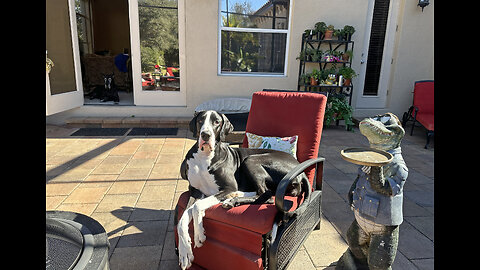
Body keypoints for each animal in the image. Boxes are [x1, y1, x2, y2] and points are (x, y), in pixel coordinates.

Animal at [177, 110, 308, 270]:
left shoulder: (228, 187)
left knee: (267, 195)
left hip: (251, 160)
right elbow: (182, 219)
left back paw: (232, 200)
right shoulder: (196, 192)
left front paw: (199, 235)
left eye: (216, 122)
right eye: (200, 120)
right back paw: (235, 197)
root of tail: (301, 171)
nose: (205, 135)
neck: (205, 156)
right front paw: (185, 253)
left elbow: (197, 207)